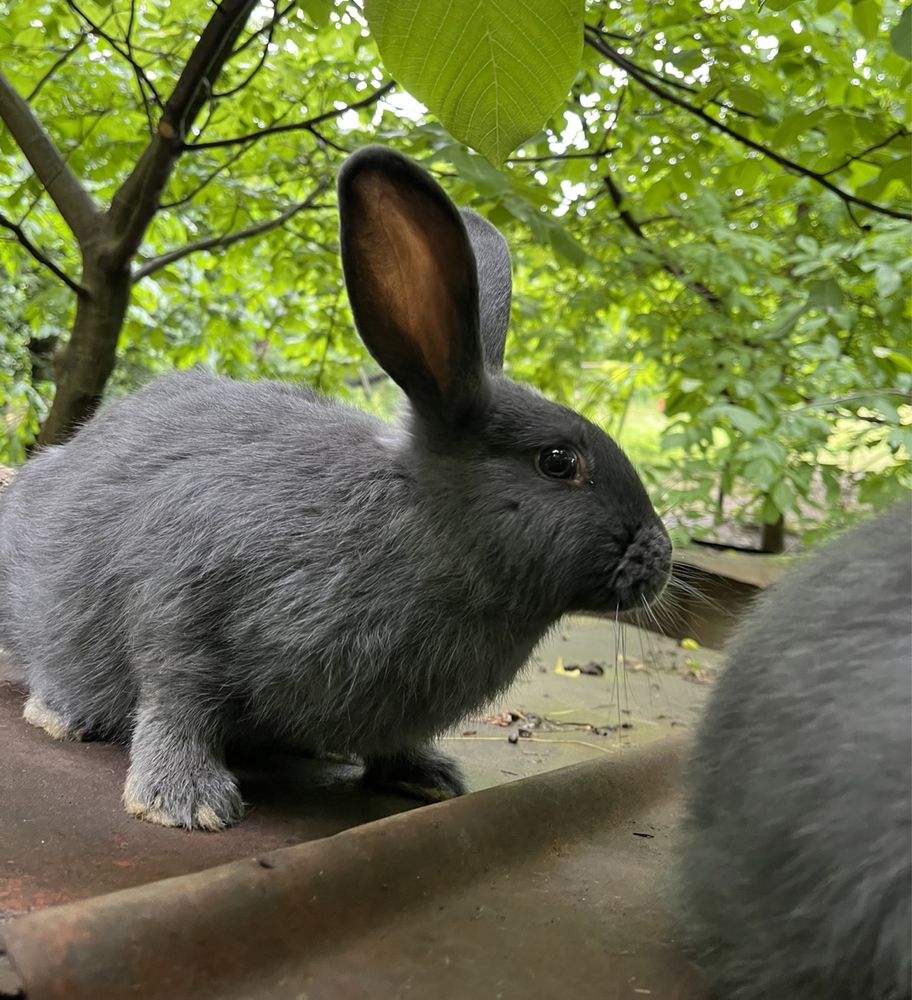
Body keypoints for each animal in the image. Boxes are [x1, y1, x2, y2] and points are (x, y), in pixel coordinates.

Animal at [0, 148, 668, 832]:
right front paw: (185, 803)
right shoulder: (182, 606)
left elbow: (395, 744)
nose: (661, 559)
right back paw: (62, 714)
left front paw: (427, 778)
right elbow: (178, 701)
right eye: (558, 462)